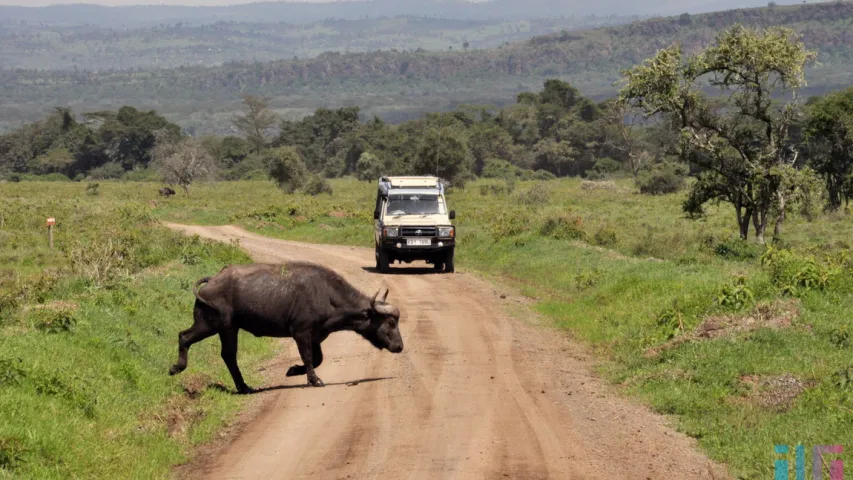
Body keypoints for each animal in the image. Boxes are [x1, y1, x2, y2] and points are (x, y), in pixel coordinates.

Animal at [171, 262, 404, 394]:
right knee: (184, 336)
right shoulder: (301, 333)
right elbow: (309, 358)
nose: (400, 346)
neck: (328, 295)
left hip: (228, 329)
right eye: (391, 323)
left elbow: (317, 359)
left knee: (228, 355)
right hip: (213, 325)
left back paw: (244, 387)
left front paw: (294, 370)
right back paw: (176, 368)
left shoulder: (316, 337)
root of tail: (212, 280)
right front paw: (314, 380)